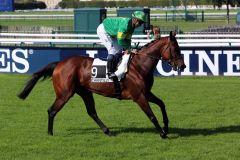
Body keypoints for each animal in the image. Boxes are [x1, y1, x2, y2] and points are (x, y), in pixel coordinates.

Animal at [18, 31, 186, 139]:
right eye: (175, 49)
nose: (183, 66)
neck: (139, 65)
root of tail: (59, 63)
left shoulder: (146, 93)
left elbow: (162, 104)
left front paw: (166, 127)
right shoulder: (138, 96)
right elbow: (151, 115)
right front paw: (162, 133)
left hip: (85, 92)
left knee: (91, 112)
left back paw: (107, 131)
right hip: (64, 94)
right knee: (51, 110)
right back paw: (50, 134)